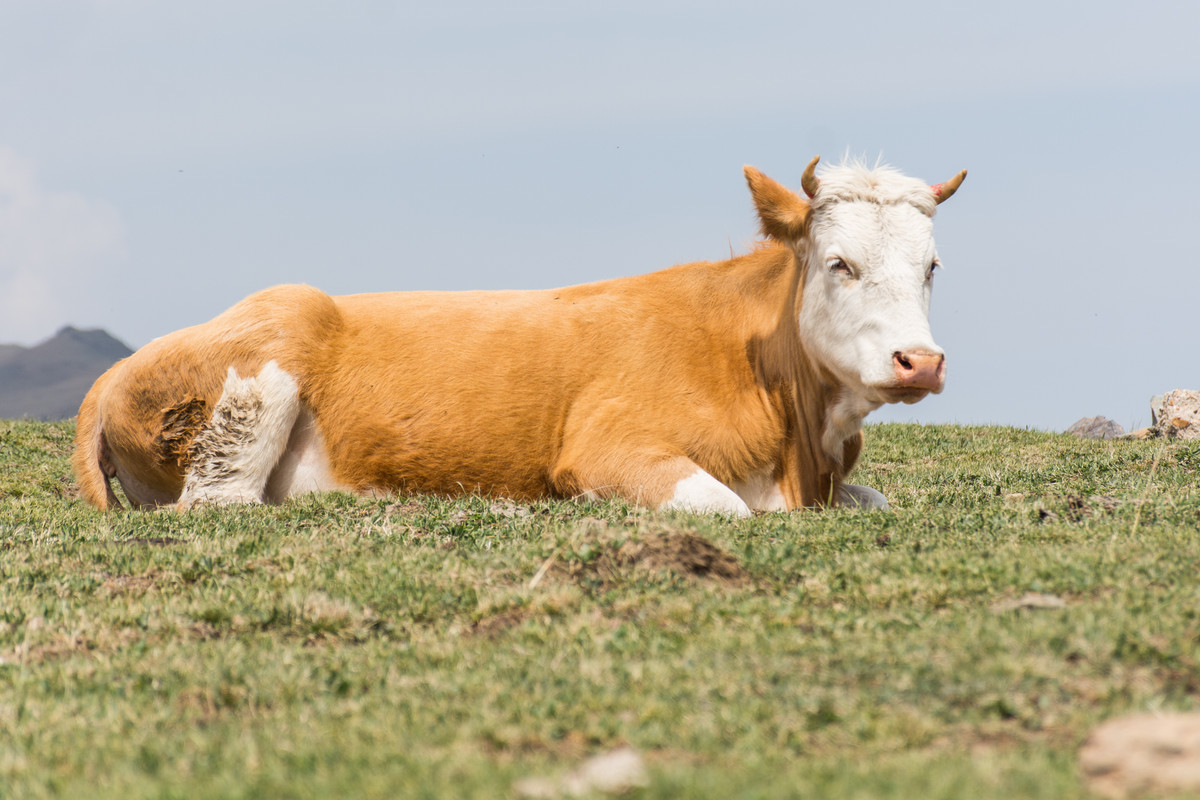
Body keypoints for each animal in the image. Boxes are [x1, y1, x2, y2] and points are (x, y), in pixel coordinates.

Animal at [73, 157, 965, 517]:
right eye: (841, 264)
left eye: (931, 267)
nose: (919, 361)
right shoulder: (608, 447)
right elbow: (723, 505)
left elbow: (878, 497)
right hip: (270, 352)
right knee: (223, 501)